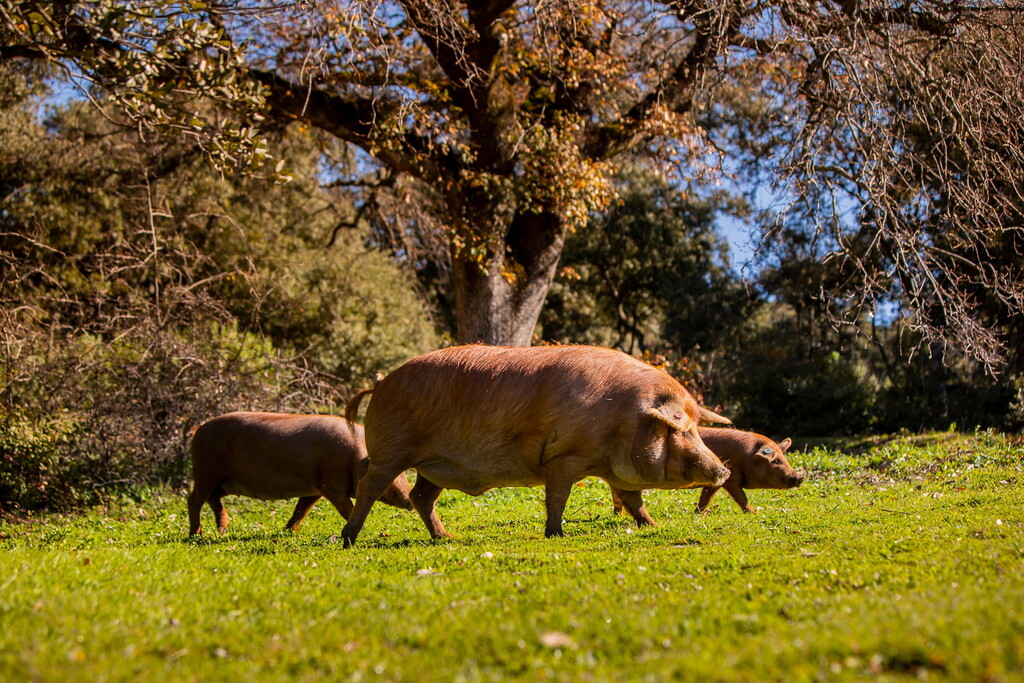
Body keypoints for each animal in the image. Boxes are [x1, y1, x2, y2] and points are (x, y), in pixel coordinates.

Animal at [186, 412, 413, 537]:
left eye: (403, 474)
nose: (410, 501)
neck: (355, 458)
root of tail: (199, 430)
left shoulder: (315, 489)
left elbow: (301, 510)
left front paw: (288, 531)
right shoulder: (331, 485)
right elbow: (346, 509)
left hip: (224, 481)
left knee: (212, 499)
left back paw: (221, 531)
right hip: (207, 470)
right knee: (194, 499)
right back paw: (196, 534)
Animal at [338, 344, 732, 546]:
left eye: (697, 428)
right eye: (681, 430)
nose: (724, 470)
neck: (621, 419)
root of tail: (380, 383)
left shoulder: (611, 469)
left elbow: (633, 499)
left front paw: (651, 526)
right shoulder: (565, 457)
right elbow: (557, 496)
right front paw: (556, 534)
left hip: (433, 466)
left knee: (420, 497)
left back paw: (446, 537)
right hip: (391, 451)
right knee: (370, 487)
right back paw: (348, 539)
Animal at [609, 427, 804, 520]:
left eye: (784, 459)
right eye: (776, 461)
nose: (799, 477)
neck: (746, 457)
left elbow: (705, 498)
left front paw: (698, 514)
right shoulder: (731, 479)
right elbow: (741, 498)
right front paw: (753, 513)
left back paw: (617, 515)